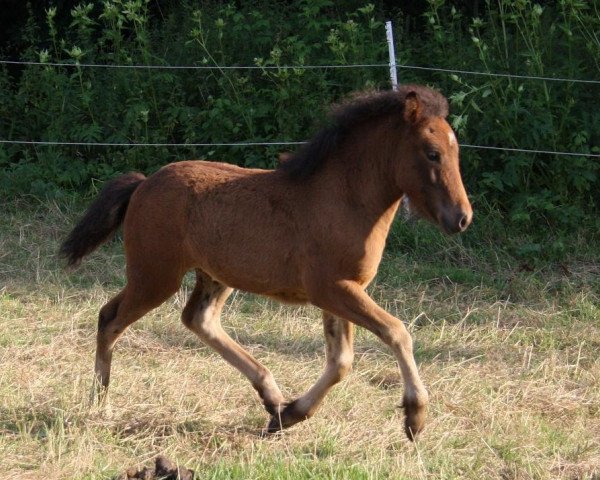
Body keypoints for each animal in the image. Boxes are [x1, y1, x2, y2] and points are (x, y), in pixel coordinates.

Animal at [61, 84, 474, 440]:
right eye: (432, 152)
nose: (462, 218)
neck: (343, 199)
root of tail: (143, 184)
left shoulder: (340, 291)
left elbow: (341, 361)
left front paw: (290, 414)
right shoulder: (334, 289)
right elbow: (396, 332)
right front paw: (415, 416)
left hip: (213, 275)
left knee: (198, 319)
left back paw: (272, 397)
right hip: (155, 276)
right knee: (110, 318)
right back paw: (100, 400)